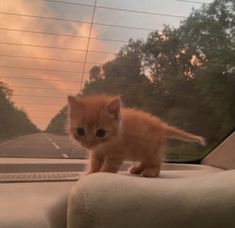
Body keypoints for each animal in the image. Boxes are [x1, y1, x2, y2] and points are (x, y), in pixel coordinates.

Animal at [67, 95, 205, 177]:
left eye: (101, 133)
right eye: (80, 131)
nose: (89, 143)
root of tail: (162, 126)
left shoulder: (116, 154)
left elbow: (109, 167)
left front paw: (103, 173)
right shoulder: (97, 152)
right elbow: (94, 163)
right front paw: (91, 173)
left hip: (150, 150)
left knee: (157, 162)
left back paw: (151, 172)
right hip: (143, 150)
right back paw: (137, 169)